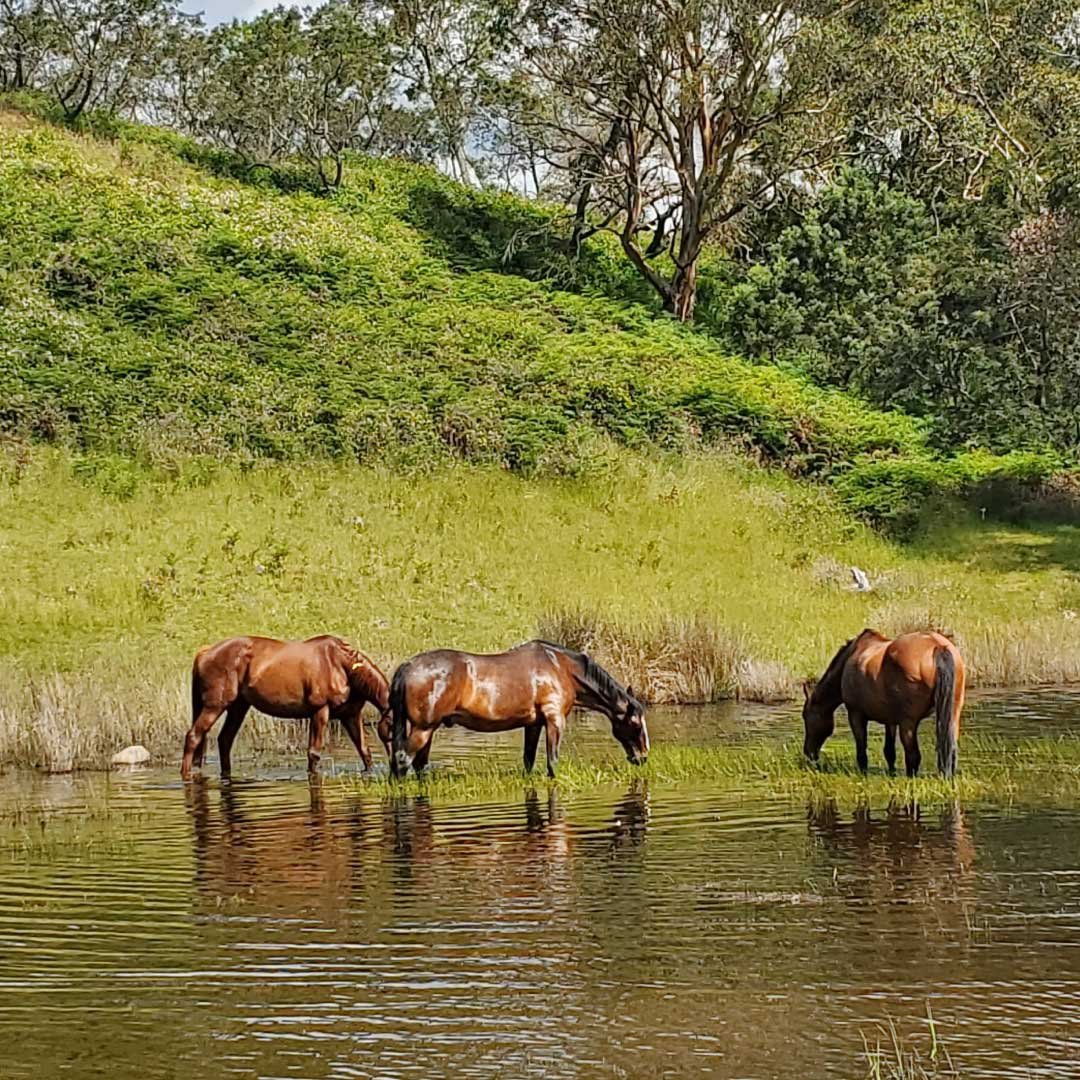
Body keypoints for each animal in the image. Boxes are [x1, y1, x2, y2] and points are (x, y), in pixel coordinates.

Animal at [181, 630, 393, 777]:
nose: (396, 761)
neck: (341, 665)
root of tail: (205, 652)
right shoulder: (320, 711)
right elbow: (314, 753)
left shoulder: (351, 715)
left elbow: (364, 750)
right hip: (215, 705)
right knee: (193, 736)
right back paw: (186, 774)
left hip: (238, 707)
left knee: (225, 740)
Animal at [390, 635, 648, 781]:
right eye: (635, 725)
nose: (643, 758)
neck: (561, 667)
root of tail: (407, 666)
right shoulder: (554, 720)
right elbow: (552, 762)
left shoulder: (533, 724)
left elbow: (528, 760)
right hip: (423, 728)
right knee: (403, 759)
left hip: (427, 729)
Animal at [803, 630, 972, 781]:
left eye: (806, 718)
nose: (808, 752)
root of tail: (937, 646)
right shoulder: (890, 720)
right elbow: (889, 751)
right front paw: (891, 773)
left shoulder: (855, 714)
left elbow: (862, 749)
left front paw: (863, 773)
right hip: (953, 714)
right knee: (951, 750)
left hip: (908, 723)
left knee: (913, 755)